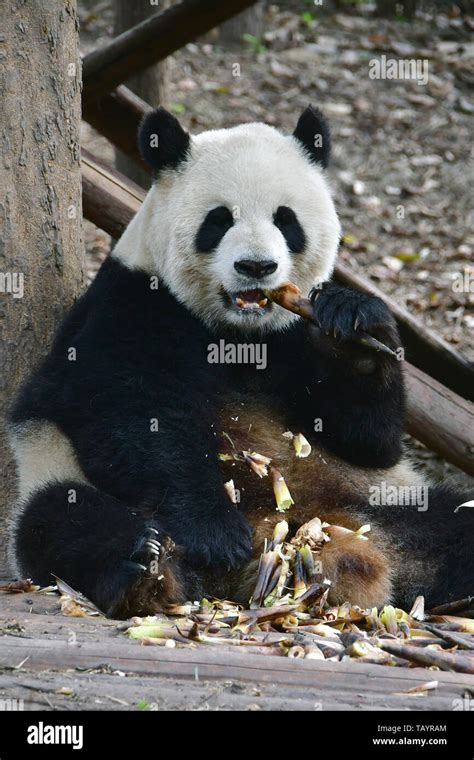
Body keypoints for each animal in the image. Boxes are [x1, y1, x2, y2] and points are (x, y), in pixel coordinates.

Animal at [6, 105, 470, 616]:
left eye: (286, 220)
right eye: (219, 220)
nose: (256, 267)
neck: (239, 333)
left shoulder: (292, 336)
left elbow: (369, 439)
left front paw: (355, 328)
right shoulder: (128, 309)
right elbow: (129, 418)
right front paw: (215, 532)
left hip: (380, 498)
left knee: (450, 523)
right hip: (53, 470)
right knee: (60, 520)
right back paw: (148, 569)